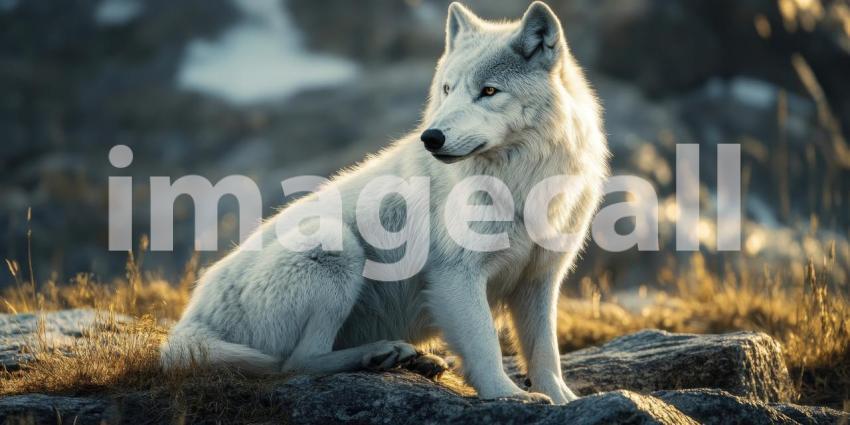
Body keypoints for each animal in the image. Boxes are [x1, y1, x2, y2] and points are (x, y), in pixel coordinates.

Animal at [161, 1, 608, 404]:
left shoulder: (540, 280)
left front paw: (565, 399)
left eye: (488, 91)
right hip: (336, 248)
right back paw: (379, 355)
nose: (432, 138)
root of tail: (190, 320)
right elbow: (485, 346)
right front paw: (509, 396)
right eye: (447, 89)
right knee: (297, 362)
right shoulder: (457, 277)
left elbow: (545, 353)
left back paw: (413, 361)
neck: (522, 184)